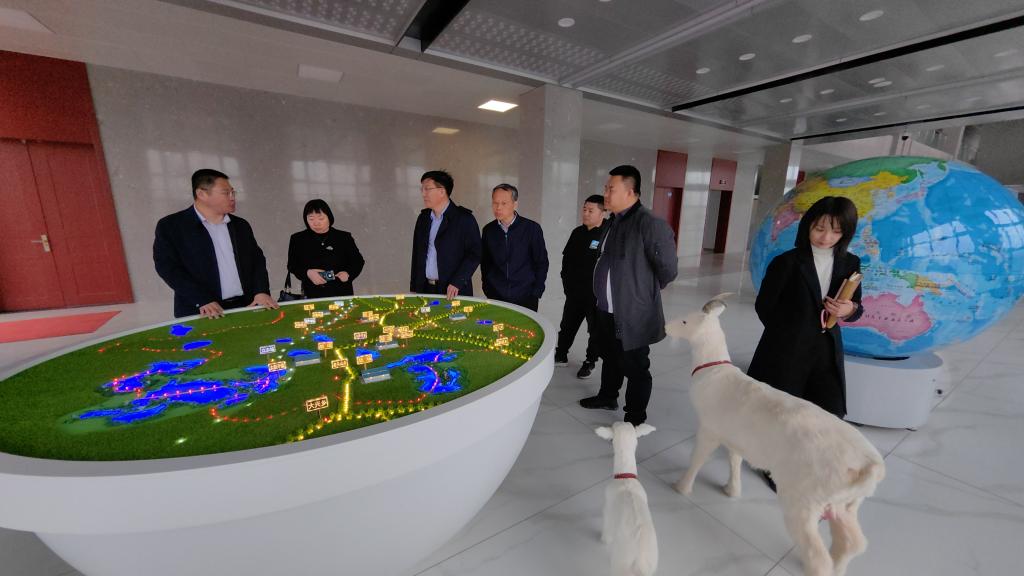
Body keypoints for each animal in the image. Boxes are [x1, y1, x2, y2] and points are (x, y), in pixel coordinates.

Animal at [595, 422, 659, 576]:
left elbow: (607, 528)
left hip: (619, 563)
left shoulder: (608, 508)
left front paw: (604, 540)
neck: (625, 476)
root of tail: (639, 565)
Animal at [665, 294, 884, 576]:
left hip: (803, 501)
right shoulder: (735, 437)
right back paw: (840, 566)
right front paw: (731, 490)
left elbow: (697, 459)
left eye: (684, 321)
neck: (713, 370)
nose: (666, 328)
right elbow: (734, 461)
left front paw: (681, 487)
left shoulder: (709, 429)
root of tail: (871, 467)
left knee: (819, 556)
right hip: (845, 505)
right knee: (852, 543)